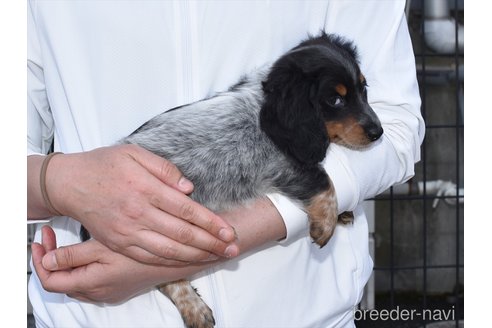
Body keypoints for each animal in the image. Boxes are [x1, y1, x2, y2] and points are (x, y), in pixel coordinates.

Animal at [84, 32, 382, 328]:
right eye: (335, 100)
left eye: (363, 89)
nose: (377, 132)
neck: (262, 106)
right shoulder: (282, 165)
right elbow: (323, 182)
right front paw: (326, 225)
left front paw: (343, 212)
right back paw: (194, 308)